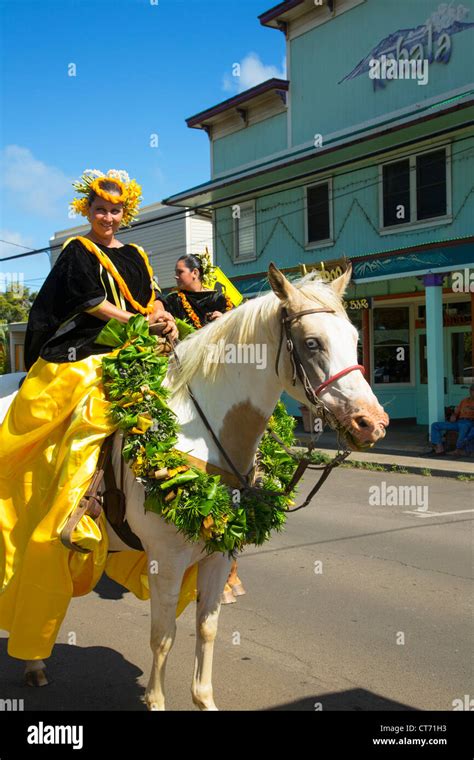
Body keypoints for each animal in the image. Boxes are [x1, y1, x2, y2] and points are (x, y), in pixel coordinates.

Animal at [0, 262, 388, 712]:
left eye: (356, 339)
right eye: (312, 343)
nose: (372, 423)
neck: (203, 432)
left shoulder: (220, 553)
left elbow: (207, 627)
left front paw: (204, 699)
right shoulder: (165, 560)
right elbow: (163, 637)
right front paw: (155, 701)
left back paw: (34, 664)